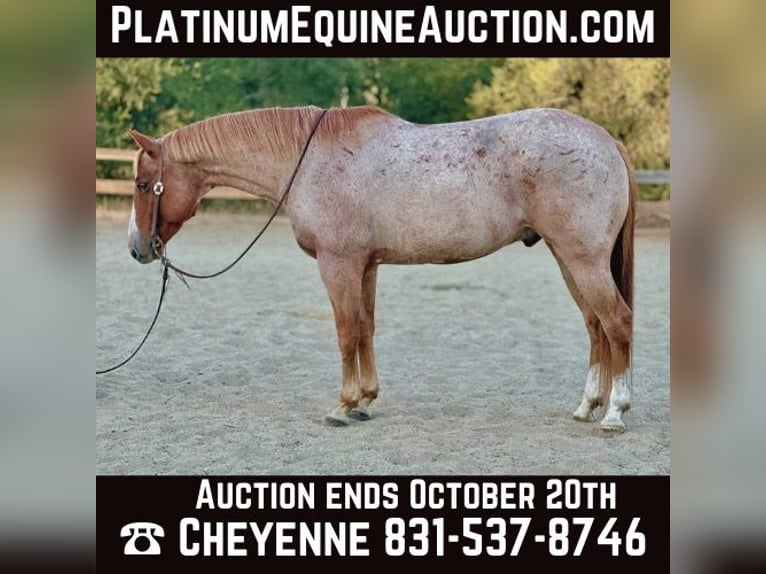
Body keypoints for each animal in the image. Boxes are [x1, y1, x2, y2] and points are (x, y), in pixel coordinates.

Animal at [126, 105, 636, 432]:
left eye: (143, 184)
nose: (136, 249)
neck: (310, 160)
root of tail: (606, 140)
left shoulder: (338, 264)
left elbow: (346, 331)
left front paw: (343, 405)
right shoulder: (365, 266)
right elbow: (366, 328)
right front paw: (366, 402)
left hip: (582, 260)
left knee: (617, 323)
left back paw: (614, 413)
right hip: (568, 259)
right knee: (595, 327)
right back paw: (587, 406)